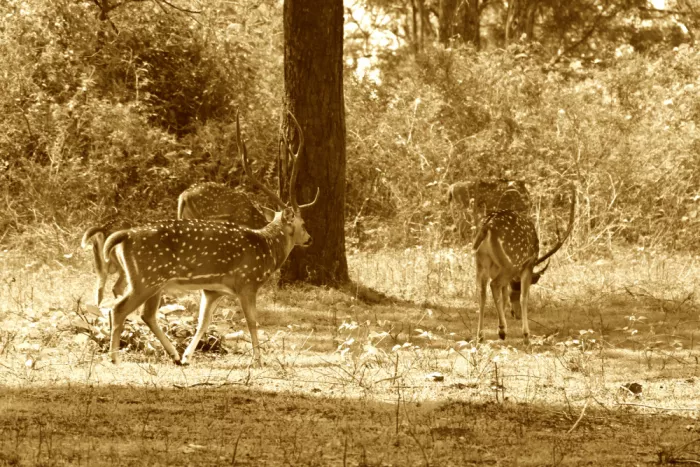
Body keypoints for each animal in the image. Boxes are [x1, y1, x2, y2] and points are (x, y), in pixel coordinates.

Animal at [101, 111, 318, 366]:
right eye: (303, 224)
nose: (309, 238)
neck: (267, 250)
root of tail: (124, 235)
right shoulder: (247, 282)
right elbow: (252, 322)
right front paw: (258, 360)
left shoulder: (213, 290)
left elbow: (203, 322)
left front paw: (187, 355)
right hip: (147, 278)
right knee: (119, 309)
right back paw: (115, 358)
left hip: (153, 281)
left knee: (147, 314)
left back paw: (175, 355)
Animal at [473, 184, 576, 344]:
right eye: (515, 289)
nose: (516, 315)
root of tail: (486, 227)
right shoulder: (528, 264)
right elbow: (524, 297)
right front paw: (526, 335)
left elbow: (504, 295)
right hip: (512, 262)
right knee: (494, 284)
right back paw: (502, 330)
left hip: (481, 263)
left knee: (481, 292)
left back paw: (480, 336)